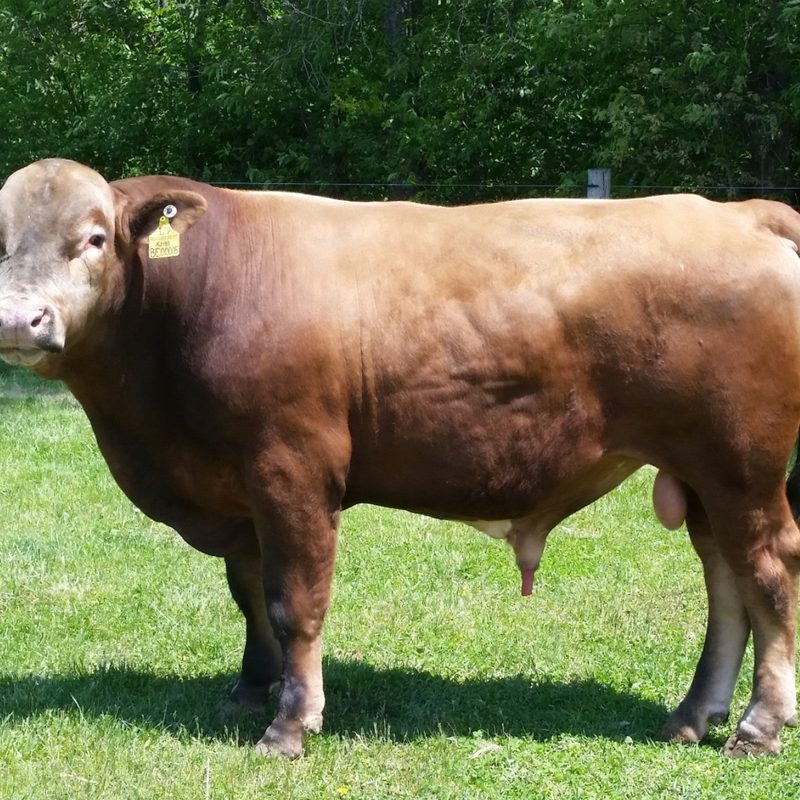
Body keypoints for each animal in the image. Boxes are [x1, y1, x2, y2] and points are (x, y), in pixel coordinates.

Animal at [1, 158, 800, 759]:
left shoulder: (291, 470)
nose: (19, 319)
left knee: (767, 573)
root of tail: (738, 213)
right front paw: (250, 689)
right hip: (702, 476)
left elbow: (294, 601)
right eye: (1, 239)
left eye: (94, 238)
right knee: (725, 582)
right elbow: (249, 593)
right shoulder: (237, 491)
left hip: (742, 469)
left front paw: (290, 725)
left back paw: (759, 727)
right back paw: (693, 714)